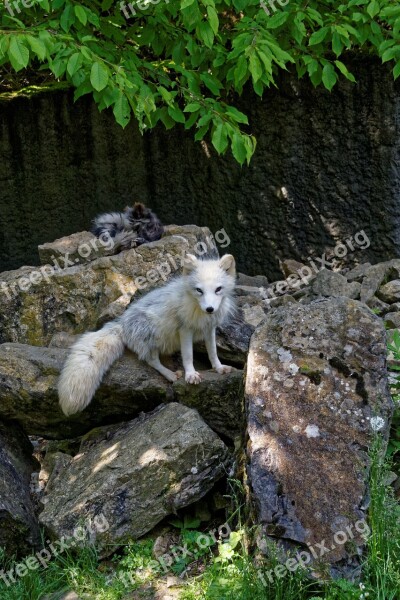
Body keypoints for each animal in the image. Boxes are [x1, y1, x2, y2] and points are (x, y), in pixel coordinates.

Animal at [57, 254, 236, 418]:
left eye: (218, 289)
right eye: (199, 290)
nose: (210, 309)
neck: (198, 310)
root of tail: (122, 323)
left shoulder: (210, 328)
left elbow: (213, 352)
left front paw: (219, 368)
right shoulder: (185, 329)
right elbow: (188, 356)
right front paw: (191, 374)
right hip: (152, 336)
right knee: (151, 361)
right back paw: (171, 375)